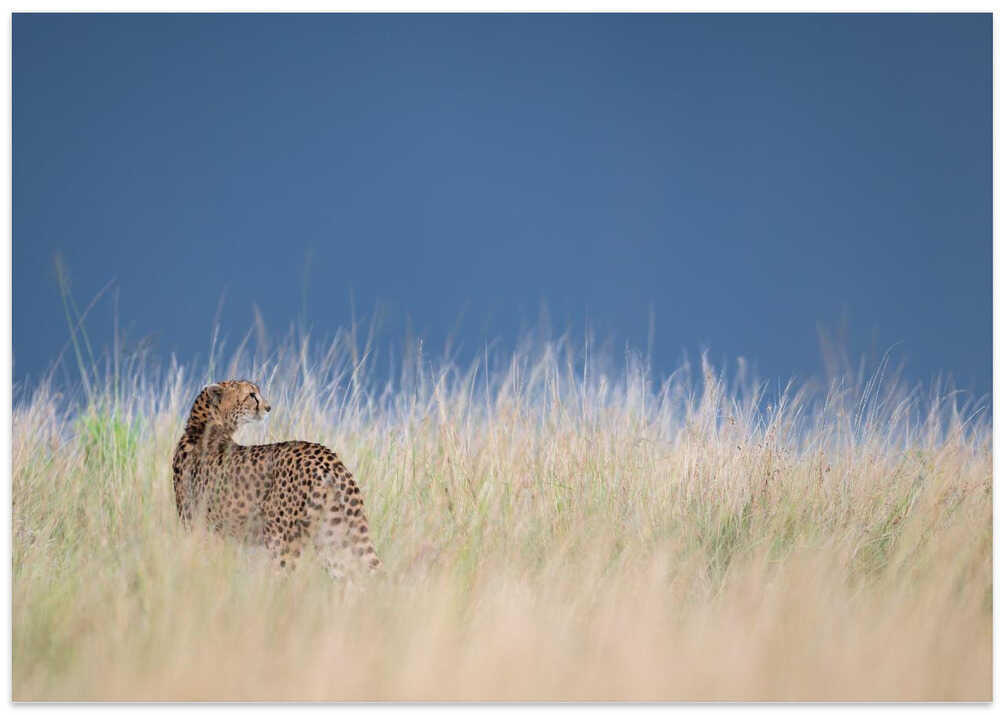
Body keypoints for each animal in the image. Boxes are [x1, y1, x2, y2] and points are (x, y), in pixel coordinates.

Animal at [171, 379, 381, 577]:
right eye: (251, 395)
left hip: (280, 539)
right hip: (333, 536)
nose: (268, 407)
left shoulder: (198, 528)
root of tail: (326, 456)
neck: (203, 426)